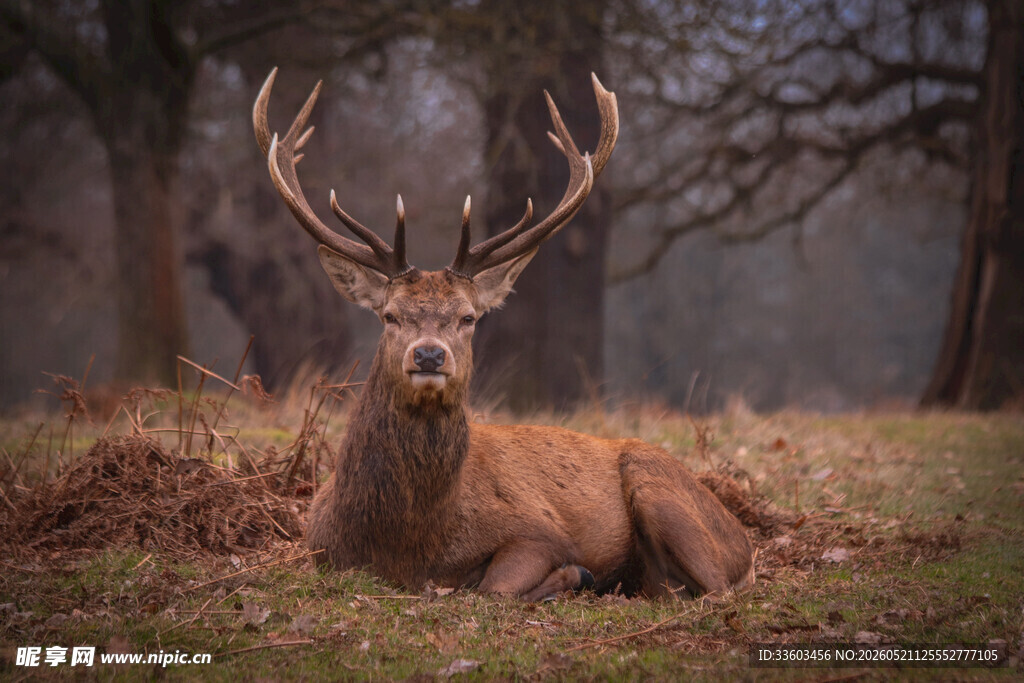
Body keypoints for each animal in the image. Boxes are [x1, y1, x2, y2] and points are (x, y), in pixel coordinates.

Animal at [253, 68, 755, 600]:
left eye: (468, 317)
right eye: (389, 315)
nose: (428, 356)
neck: (410, 546)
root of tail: (744, 542)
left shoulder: (537, 530)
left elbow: (496, 585)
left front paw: (570, 575)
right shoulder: (319, 547)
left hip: (660, 490)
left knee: (716, 589)